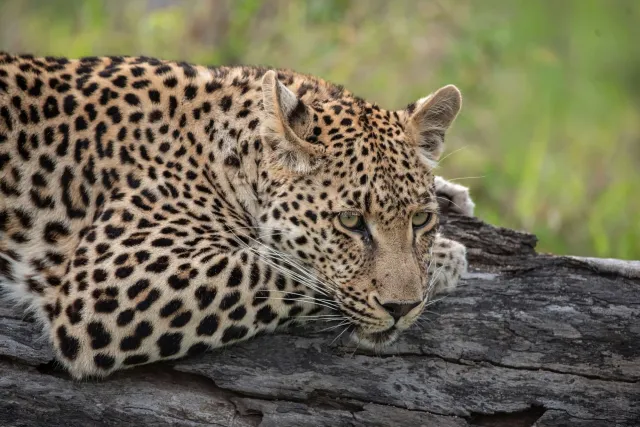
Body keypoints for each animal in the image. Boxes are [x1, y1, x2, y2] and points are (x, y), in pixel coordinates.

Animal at [0, 53, 474, 379]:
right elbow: (279, 266)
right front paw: (448, 257)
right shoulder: (109, 282)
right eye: (350, 222)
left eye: (420, 221)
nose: (402, 307)